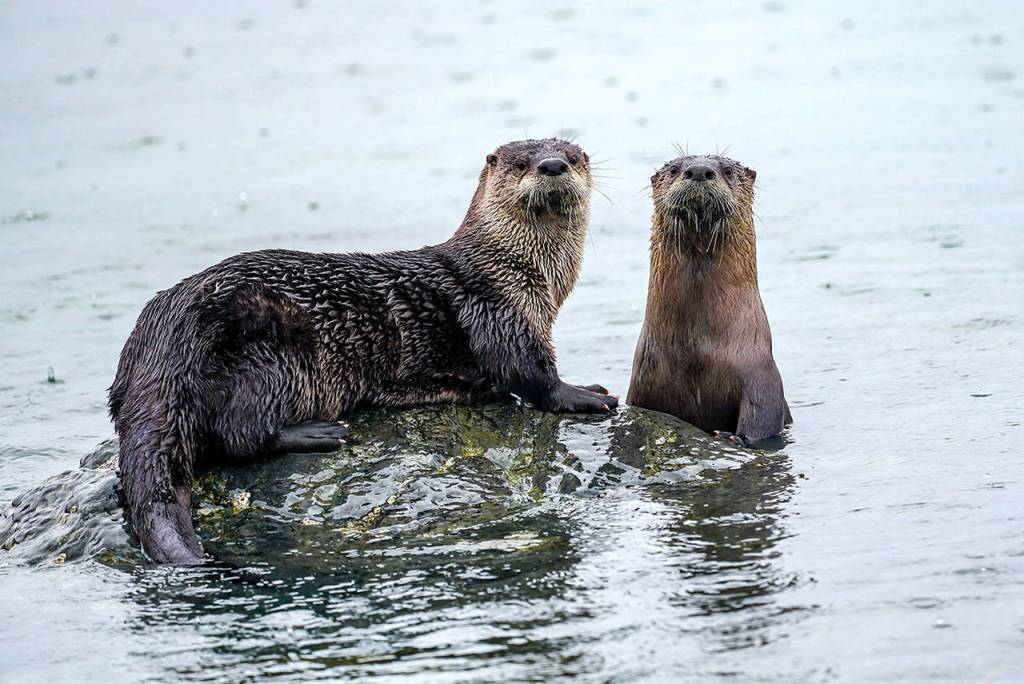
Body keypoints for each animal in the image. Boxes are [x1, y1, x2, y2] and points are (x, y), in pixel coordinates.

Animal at [109, 138, 617, 564]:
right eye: (521, 163)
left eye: (571, 157)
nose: (551, 165)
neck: (518, 273)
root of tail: (161, 340)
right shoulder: (498, 312)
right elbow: (530, 375)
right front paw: (586, 393)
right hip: (271, 355)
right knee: (238, 435)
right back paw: (317, 433)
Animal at [626, 154, 790, 445]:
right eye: (673, 169)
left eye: (728, 171)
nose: (700, 170)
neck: (698, 352)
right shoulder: (641, 388)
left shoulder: (762, 379)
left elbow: (762, 422)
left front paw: (733, 438)